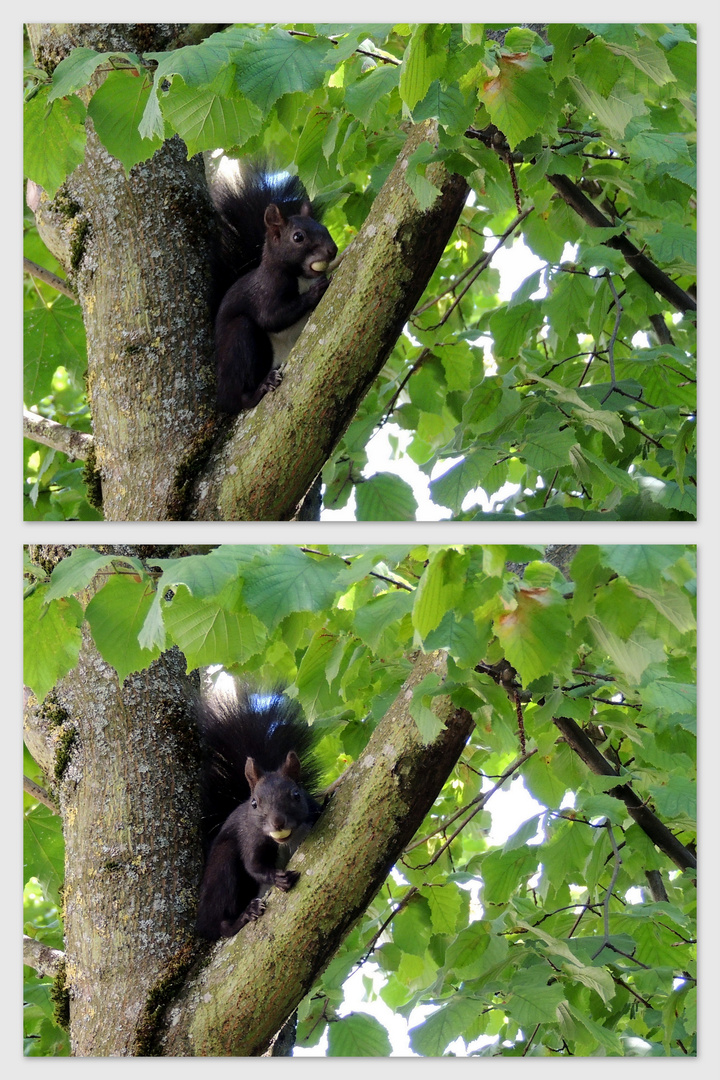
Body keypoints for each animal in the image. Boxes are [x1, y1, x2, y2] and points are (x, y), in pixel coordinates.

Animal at [195, 686, 321, 941]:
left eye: (296, 794)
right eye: (254, 803)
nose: (277, 822)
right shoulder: (249, 837)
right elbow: (253, 866)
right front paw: (277, 877)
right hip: (221, 870)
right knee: (216, 925)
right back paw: (243, 916)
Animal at [209, 160, 338, 412]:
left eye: (324, 228)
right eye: (298, 237)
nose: (333, 250)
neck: (300, 276)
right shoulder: (267, 289)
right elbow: (271, 317)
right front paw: (316, 292)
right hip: (238, 344)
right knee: (236, 397)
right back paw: (257, 390)